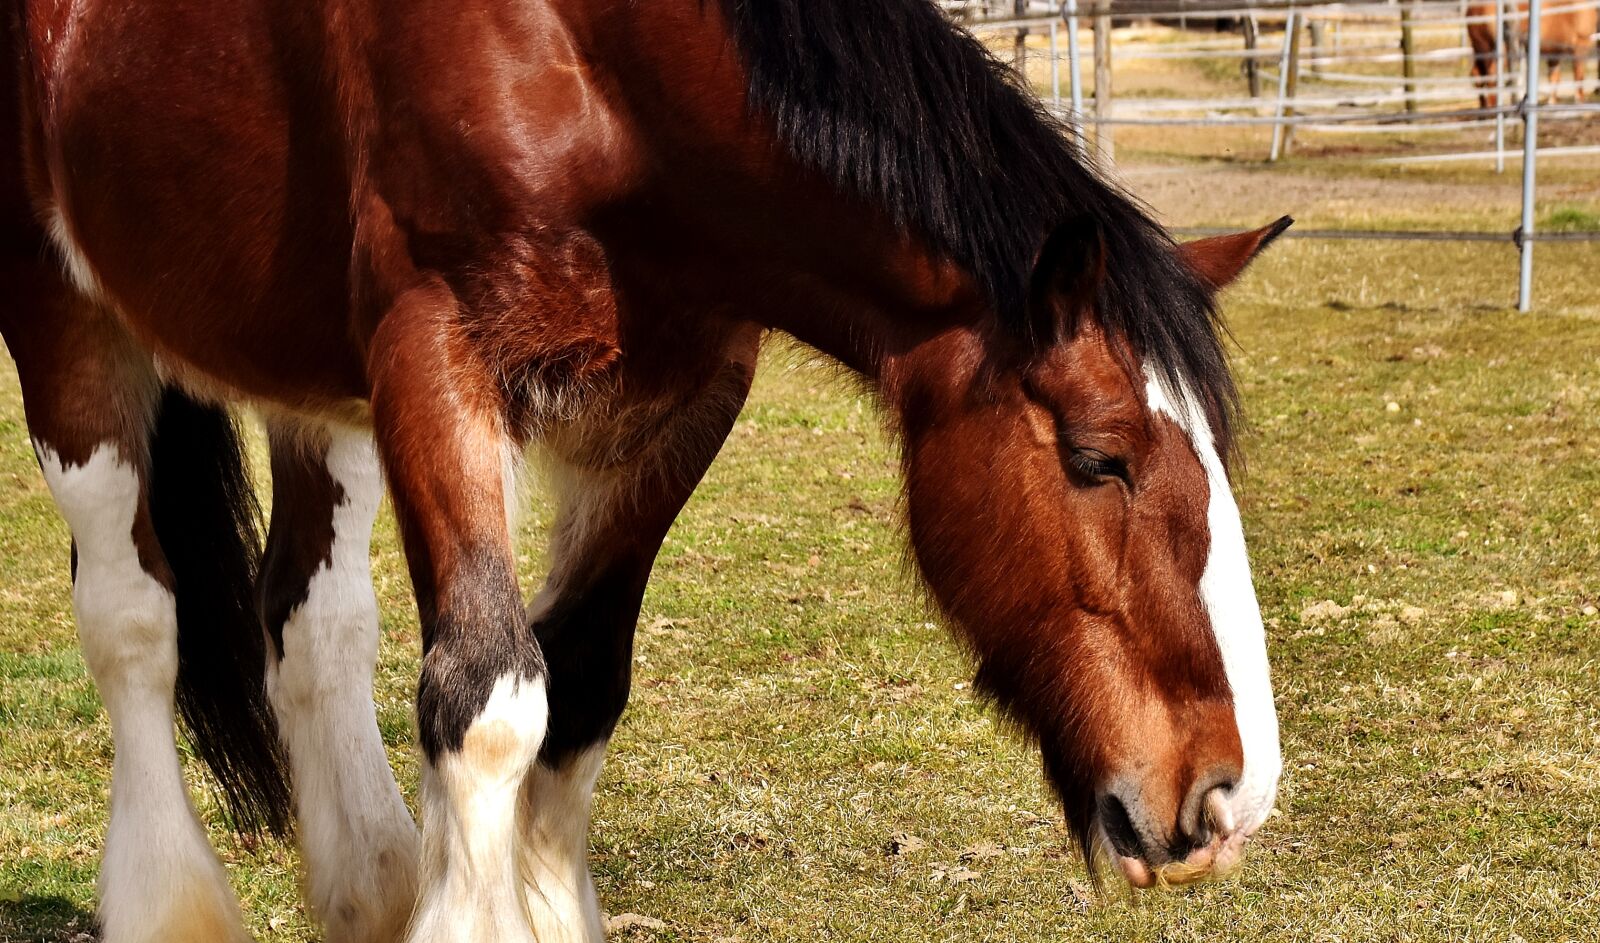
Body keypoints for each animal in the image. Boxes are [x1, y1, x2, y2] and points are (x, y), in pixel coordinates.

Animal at [1, 1, 1288, 940]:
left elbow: (581, 685)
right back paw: (169, 903)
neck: (593, 66)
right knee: (132, 622)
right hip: (64, 324)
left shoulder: (679, 401)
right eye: (1099, 457)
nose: (1230, 795)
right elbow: (487, 698)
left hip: (311, 380)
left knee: (310, 619)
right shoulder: (434, 359)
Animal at [1468, 2, 1598, 106]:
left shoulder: (1554, 52)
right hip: (1501, 50)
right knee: (1492, 74)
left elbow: (1554, 77)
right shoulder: (1580, 45)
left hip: (1480, 48)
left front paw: (1551, 102)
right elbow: (1579, 76)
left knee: (1477, 75)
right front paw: (1580, 101)